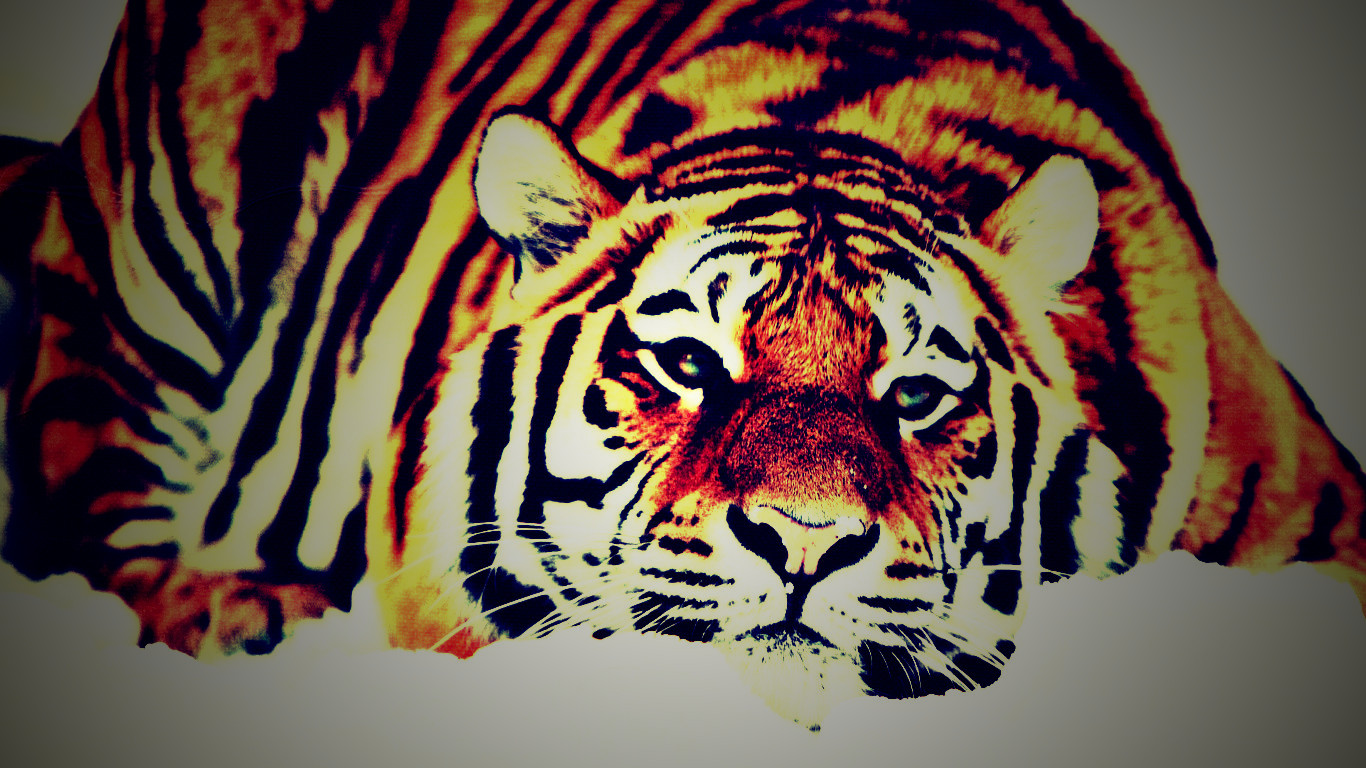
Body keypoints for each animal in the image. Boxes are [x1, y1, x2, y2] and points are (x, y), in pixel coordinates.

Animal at [1, 0, 1362, 728]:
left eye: (917, 395)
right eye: (691, 363)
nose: (806, 544)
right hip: (157, 257)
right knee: (91, 479)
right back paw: (237, 611)